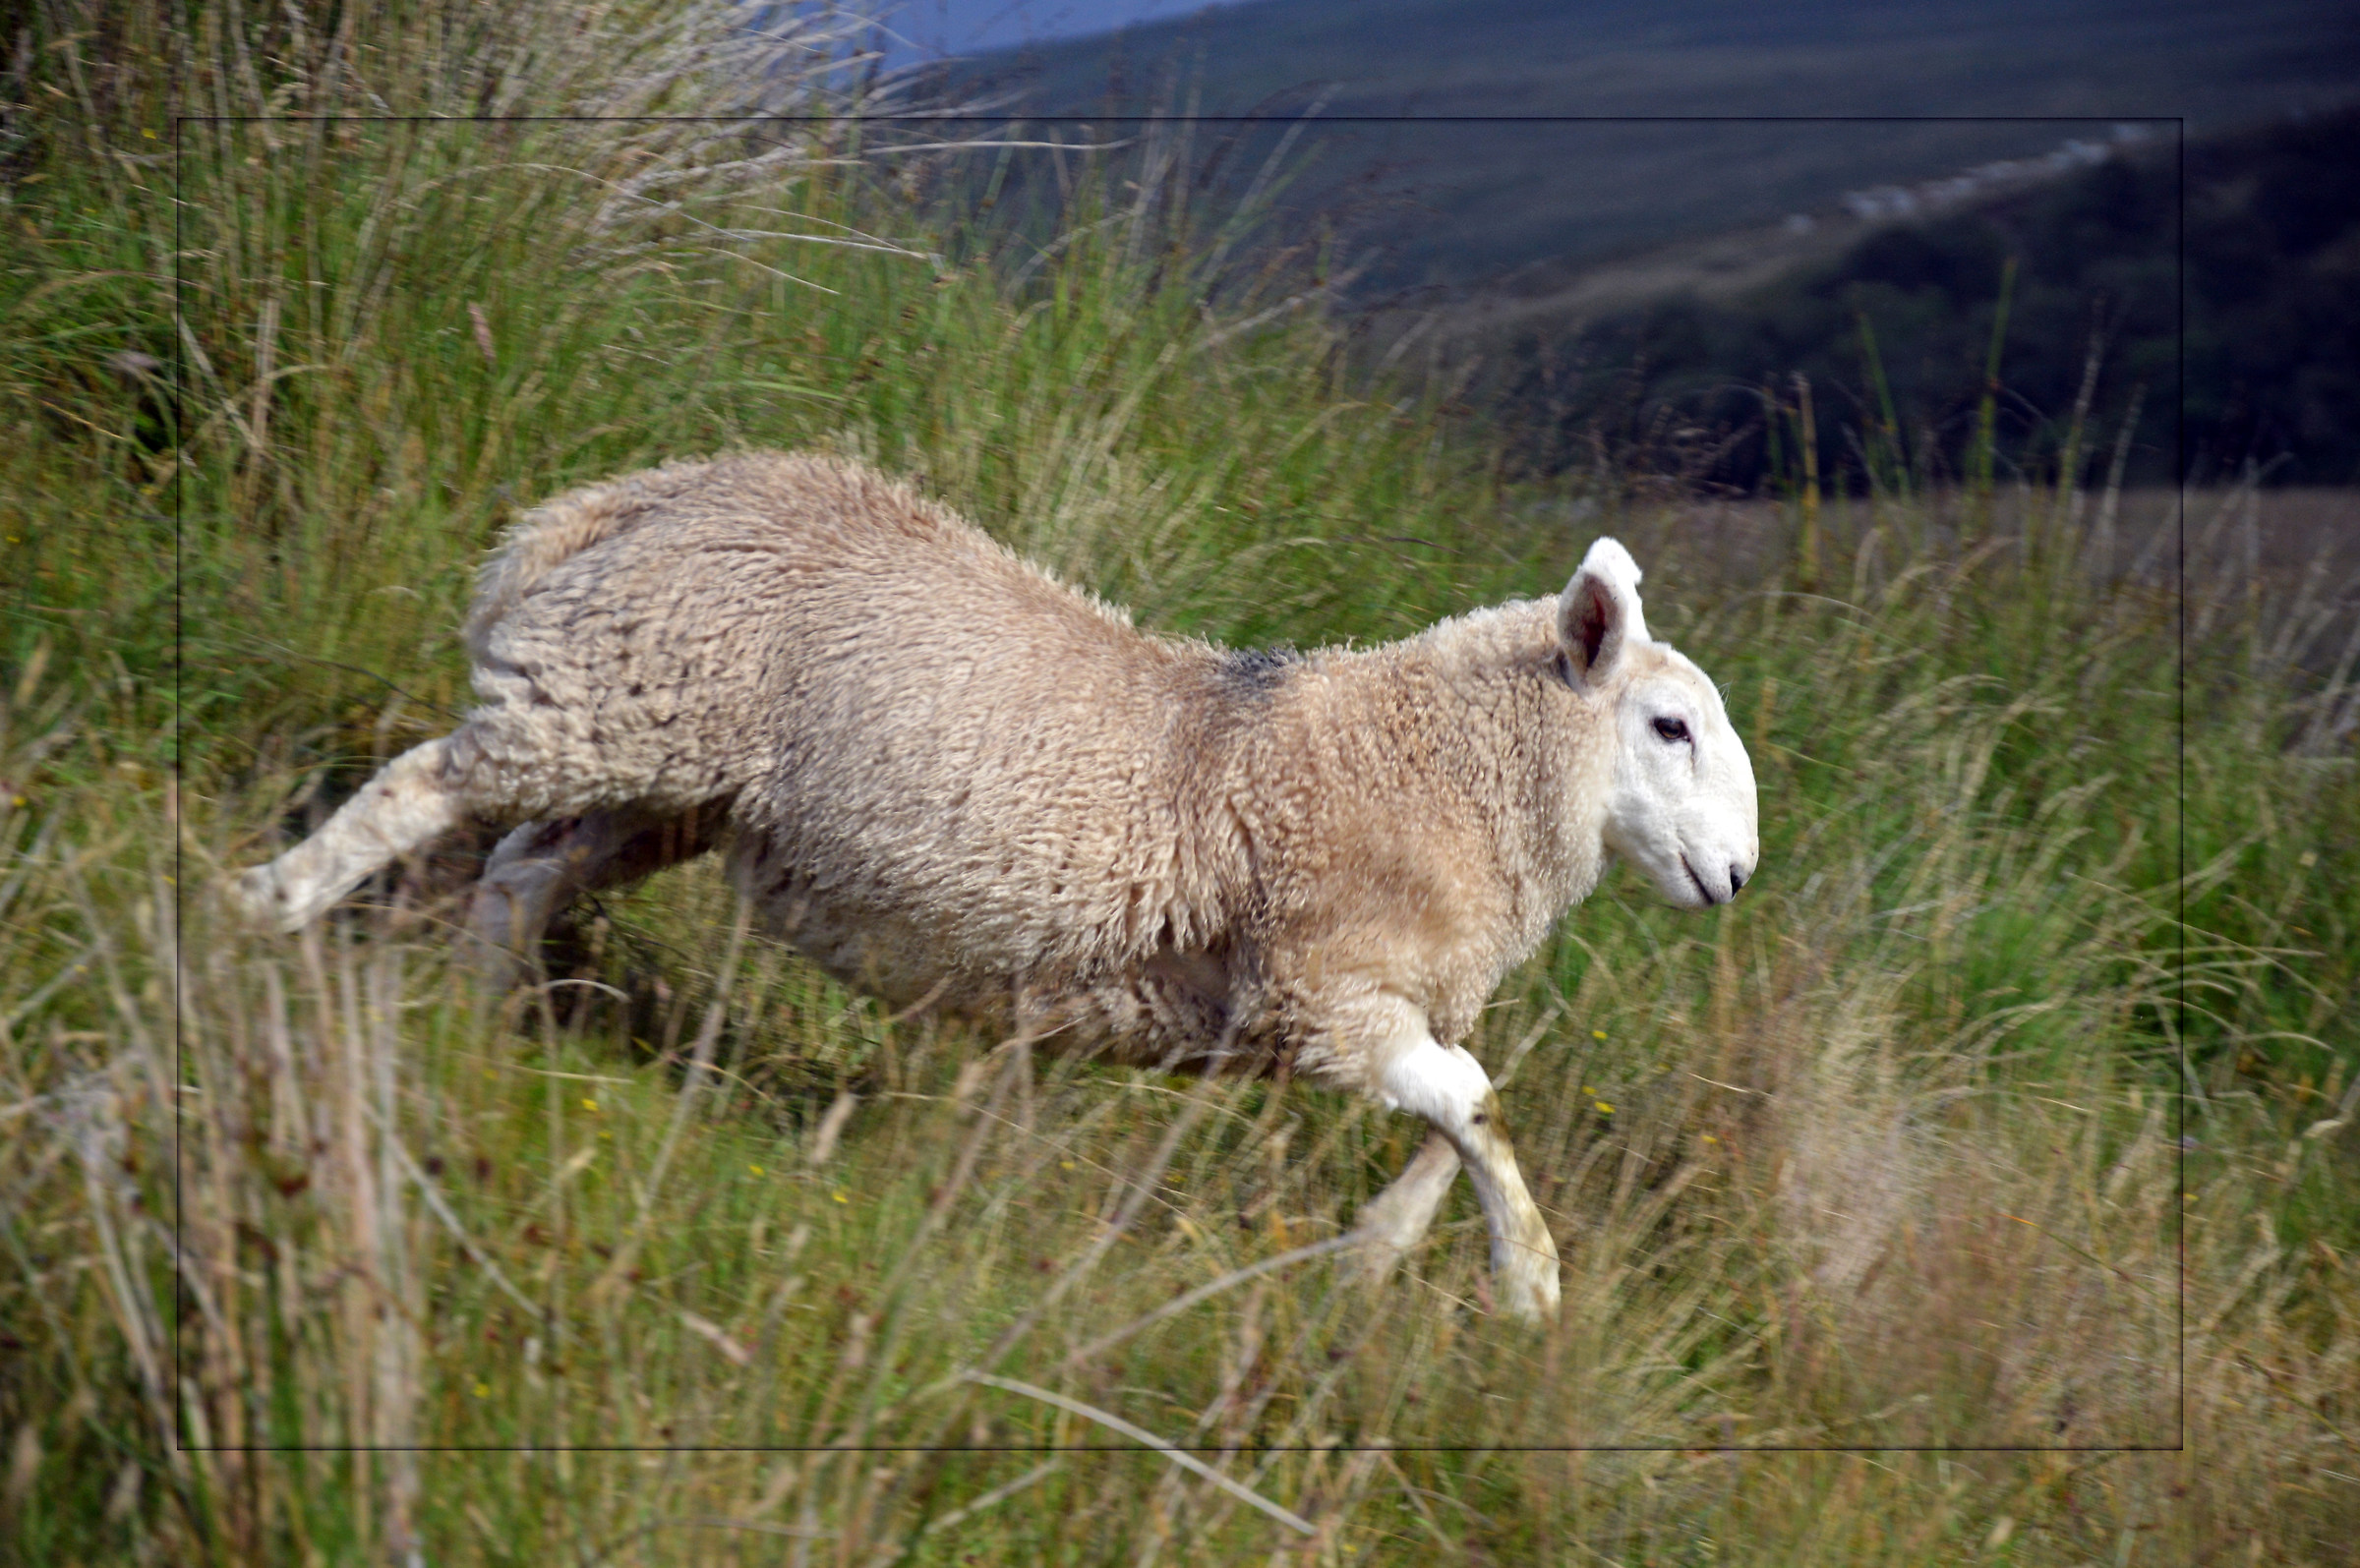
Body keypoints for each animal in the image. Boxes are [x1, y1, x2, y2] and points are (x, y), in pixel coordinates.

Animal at [235, 451, 1760, 1319]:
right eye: (1669, 727)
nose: (1738, 873)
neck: (1437, 760)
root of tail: (645, 493)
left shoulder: (1367, 1002)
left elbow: (1461, 1120)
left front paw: (1378, 1261)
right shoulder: (1320, 989)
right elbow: (1475, 1103)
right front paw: (1531, 1285)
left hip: (671, 767)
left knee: (521, 863)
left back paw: (472, 1025)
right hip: (623, 693)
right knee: (424, 785)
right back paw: (271, 907)